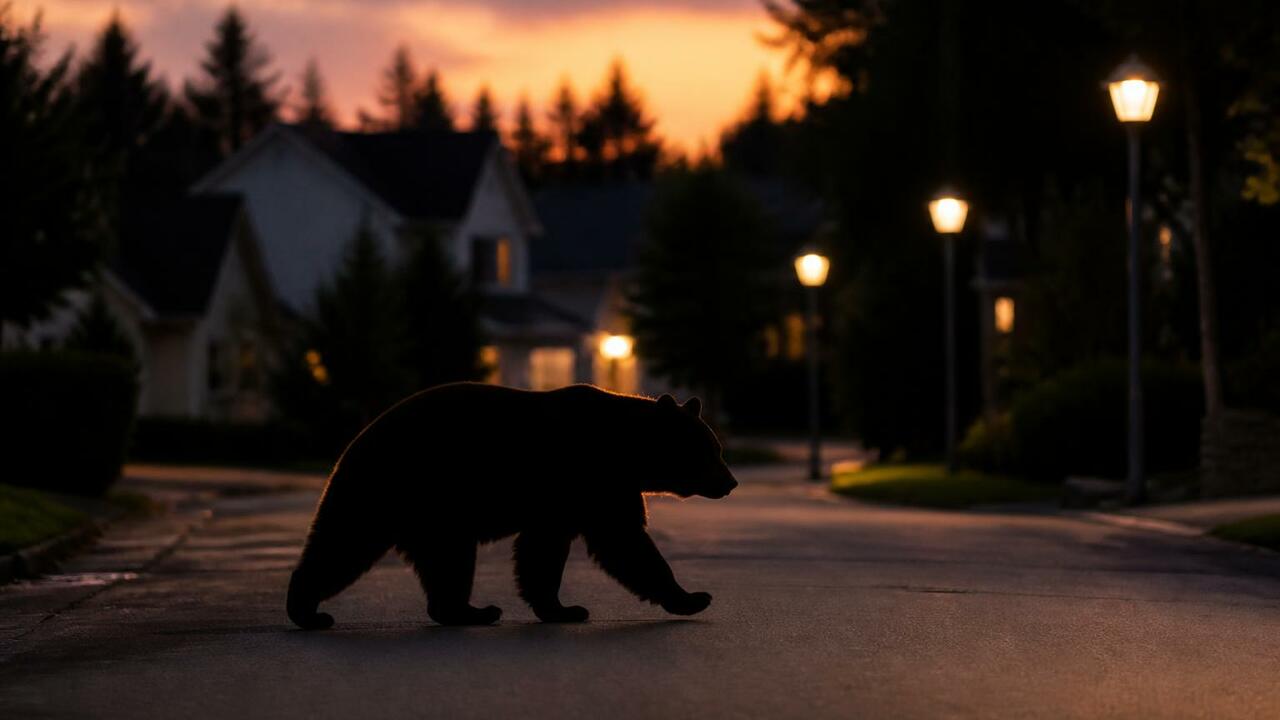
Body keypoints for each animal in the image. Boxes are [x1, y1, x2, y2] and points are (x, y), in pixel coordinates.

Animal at [287, 382, 738, 630]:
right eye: (710, 451)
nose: (731, 482)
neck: (627, 450)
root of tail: (352, 443)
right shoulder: (593, 477)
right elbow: (623, 541)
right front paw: (692, 596)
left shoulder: (570, 498)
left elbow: (544, 550)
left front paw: (560, 607)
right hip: (397, 489)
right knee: (347, 542)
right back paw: (307, 610)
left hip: (425, 513)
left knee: (441, 563)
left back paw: (467, 610)